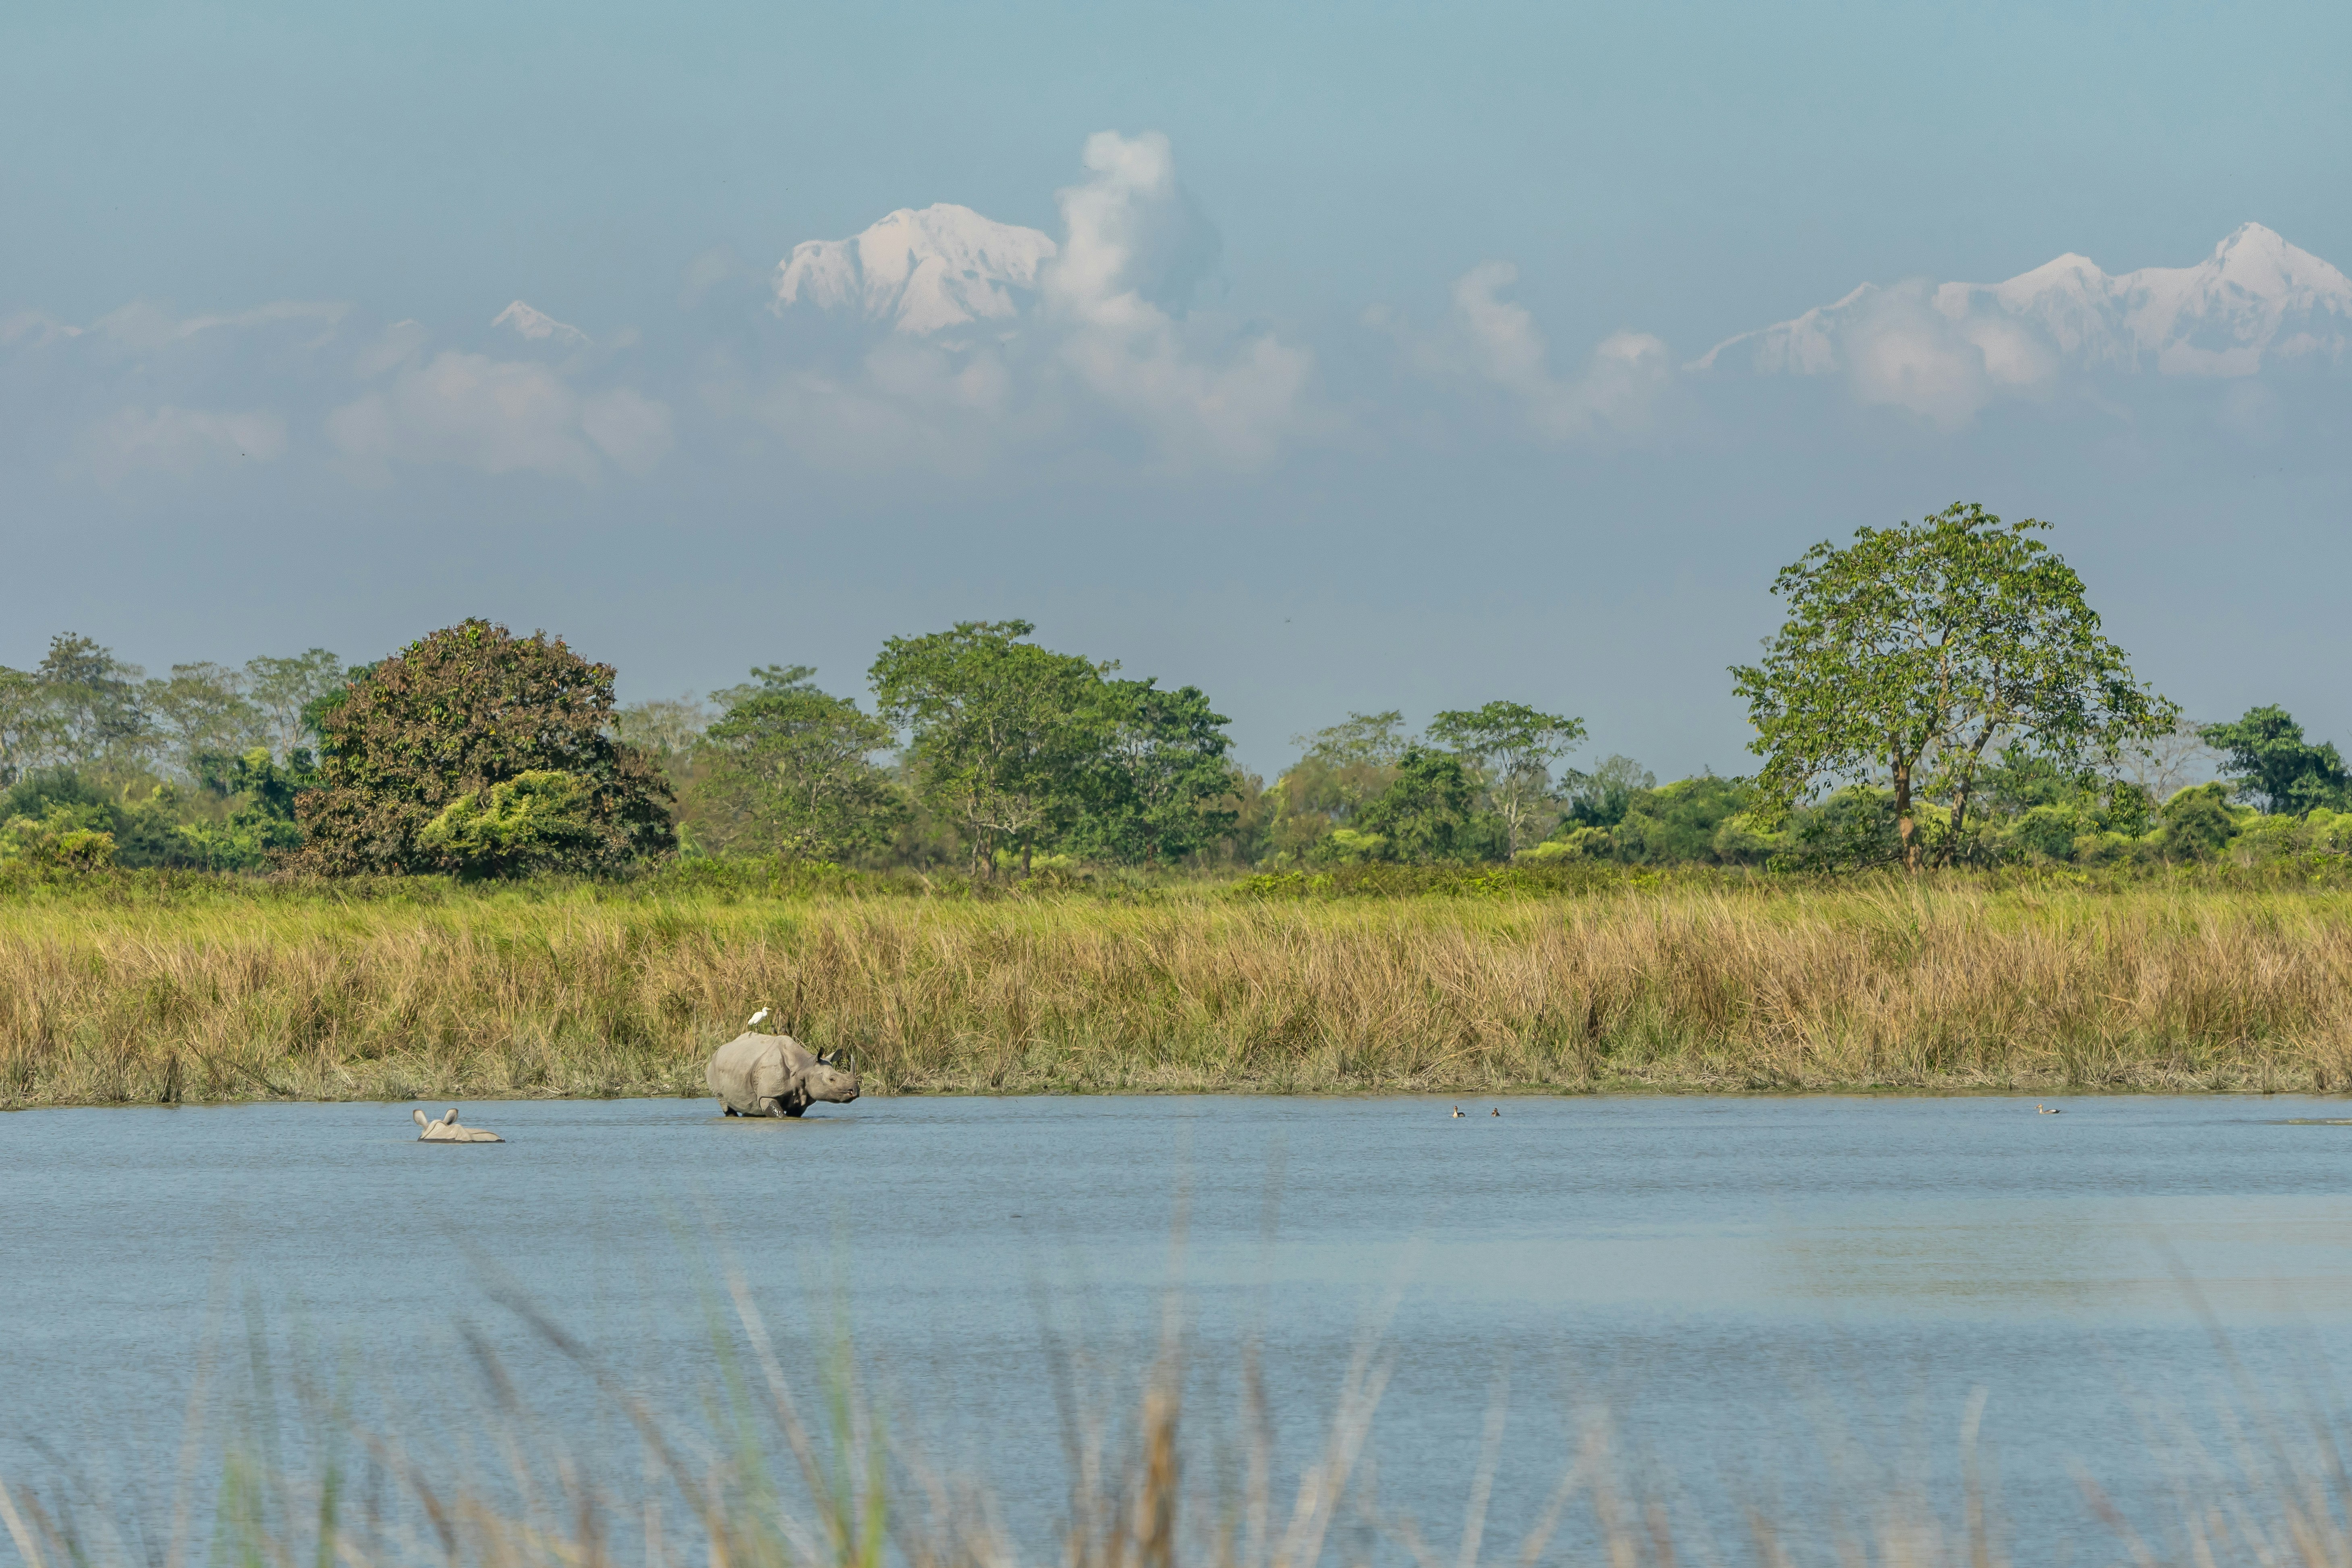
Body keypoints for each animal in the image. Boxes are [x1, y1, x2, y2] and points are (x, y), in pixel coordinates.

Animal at [707, 1031, 860, 1118]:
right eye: (832, 1079)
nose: (855, 1091)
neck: (804, 1067)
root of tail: (716, 1052)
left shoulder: (804, 1093)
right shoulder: (767, 1095)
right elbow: (780, 1115)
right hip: (713, 1069)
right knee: (724, 1102)